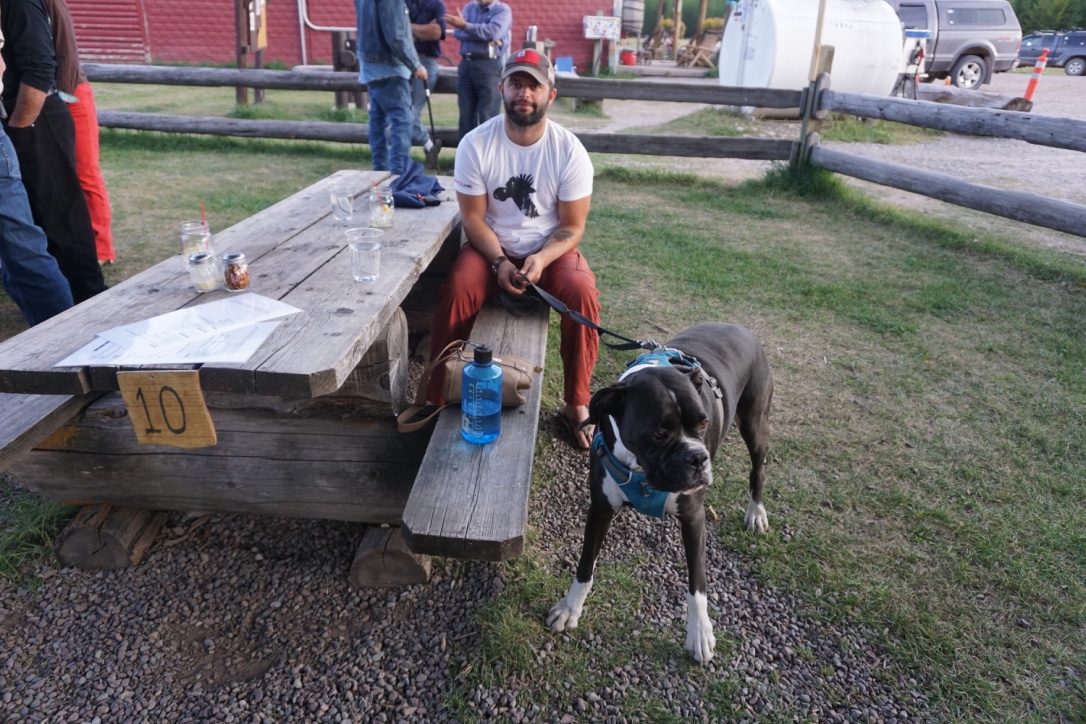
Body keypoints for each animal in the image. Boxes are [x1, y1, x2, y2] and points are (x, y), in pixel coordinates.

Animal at [546, 322, 773, 664]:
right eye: (659, 433)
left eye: (703, 423)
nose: (698, 458)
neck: (641, 469)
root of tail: (739, 327)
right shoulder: (600, 509)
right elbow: (585, 566)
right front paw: (570, 609)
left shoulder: (693, 518)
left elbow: (697, 585)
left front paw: (700, 633)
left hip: (754, 425)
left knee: (757, 468)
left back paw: (756, 512)